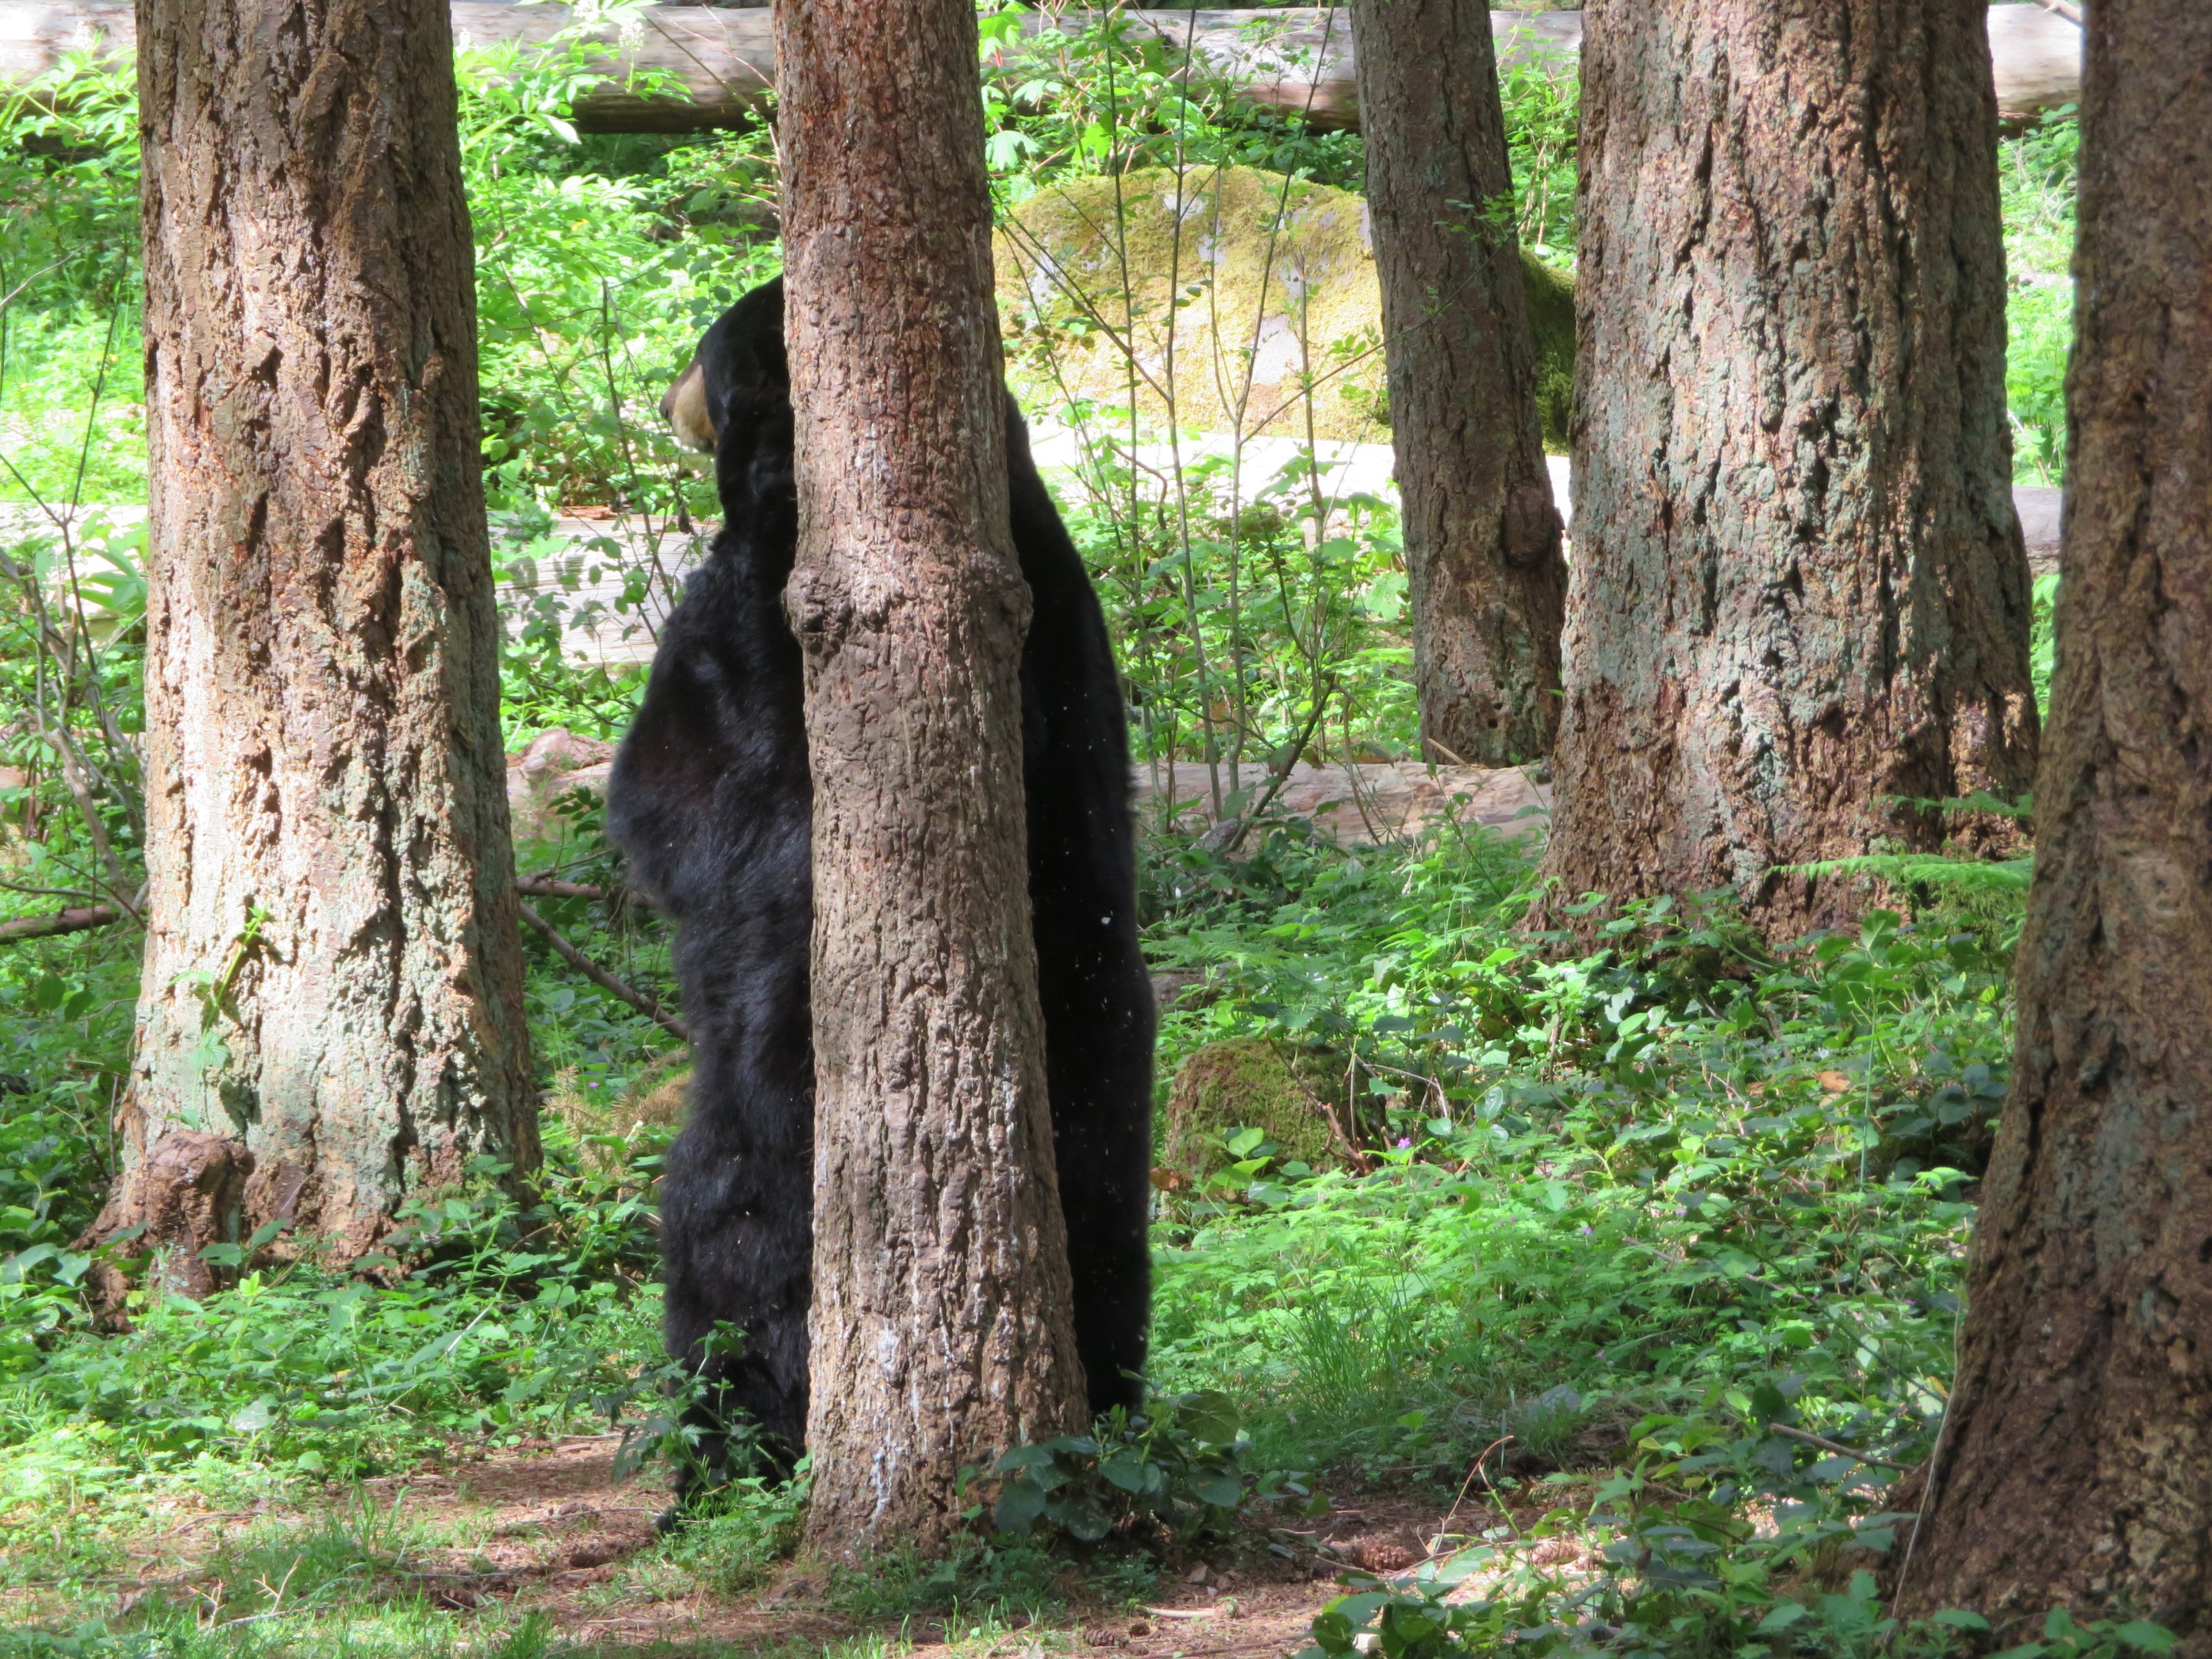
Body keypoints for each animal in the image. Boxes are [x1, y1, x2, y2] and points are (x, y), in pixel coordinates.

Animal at [609, 277, 1156, 1495]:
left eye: (707, 348)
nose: (668, 398)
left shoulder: (755, 613)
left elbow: (676, 794)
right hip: (1103, 1089)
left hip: (783, 1122)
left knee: (726, 1251)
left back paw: (727, 1449)